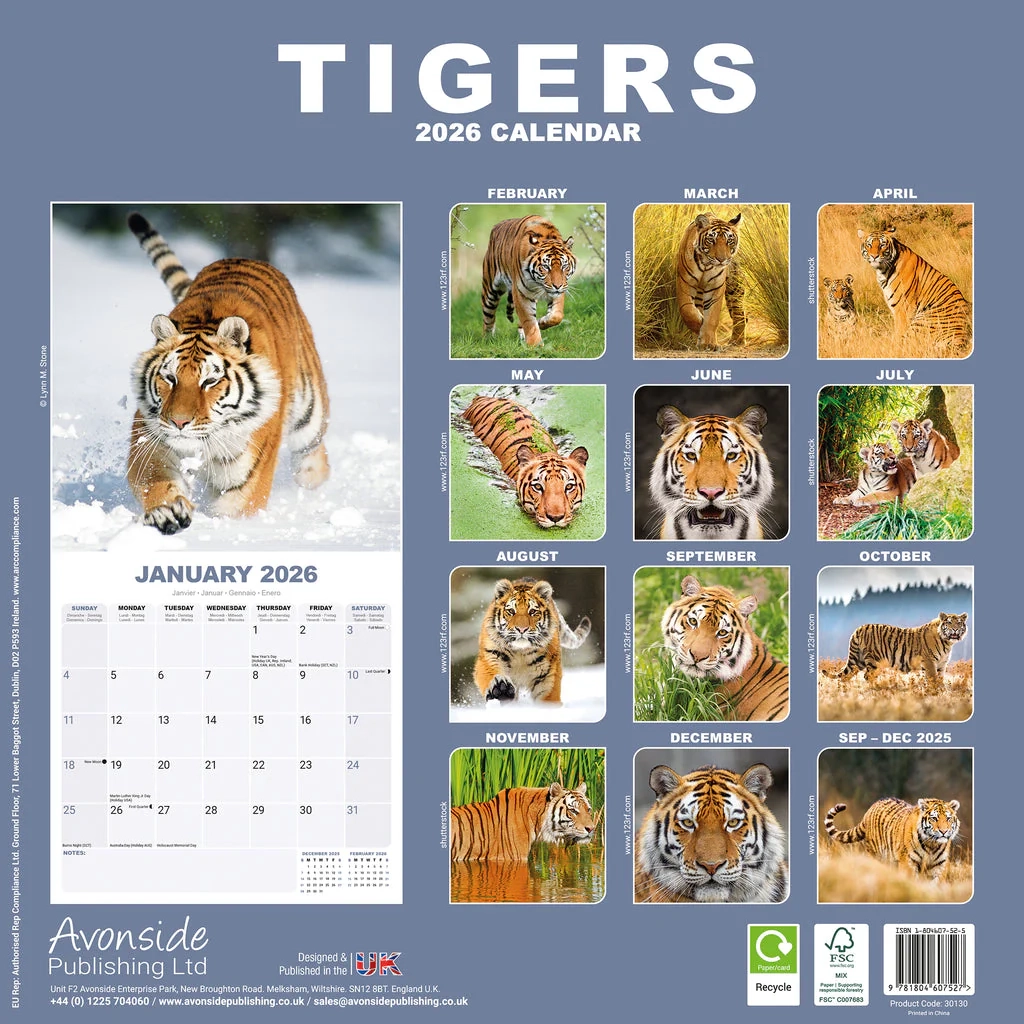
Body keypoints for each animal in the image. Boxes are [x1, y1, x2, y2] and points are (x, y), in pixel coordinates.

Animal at [126, 213, 329, 534]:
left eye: (210, 381)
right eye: (170, 378)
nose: (179, 422)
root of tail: (245, 257)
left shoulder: (246, 478)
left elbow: (234, 511)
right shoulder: (150, 441)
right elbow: (155, 482)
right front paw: (167, 511)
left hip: (310, 414)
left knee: (314, 454)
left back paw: (311, 484)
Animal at [481, 216, 576, 349]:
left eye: (564, 266)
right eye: (546, 267)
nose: (557, 285)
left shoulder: (558, 292)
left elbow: (557, 315)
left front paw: (542, 322)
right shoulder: (521, 293)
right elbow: (528, 321)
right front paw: (535, 345)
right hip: (490, 291)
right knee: (488, 317)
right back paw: (488, 339)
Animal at [675, 212, 746, 349]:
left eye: (729, 241)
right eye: (711, 240)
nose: (721, 259)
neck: (706, 265)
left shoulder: (715, 287)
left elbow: (712, 316)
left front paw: (708, 342)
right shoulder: (685, 282)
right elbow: (687, 310)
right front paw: (700, 327)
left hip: (735, 289)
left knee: (740, 314)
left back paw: (737, 341)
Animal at [824, 797, 960, 881]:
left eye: (948, 818)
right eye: (934, 818)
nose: (944, 831)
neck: (932, 844)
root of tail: (869, 811)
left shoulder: (938, 866)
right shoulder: (908, 863)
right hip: (876, 856)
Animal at [830, 613, 968, 690]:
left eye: (959, 623)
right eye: (949, 623)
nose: (955, 629)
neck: (948, 642)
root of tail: (859, 628)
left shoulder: (941, 664)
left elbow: (939, 679)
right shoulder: (929, 662)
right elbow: (933, 679)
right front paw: (935, 693)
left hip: (858, 661)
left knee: (846, 675)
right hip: (873, 661)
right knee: (867, 676)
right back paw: (875, 689)